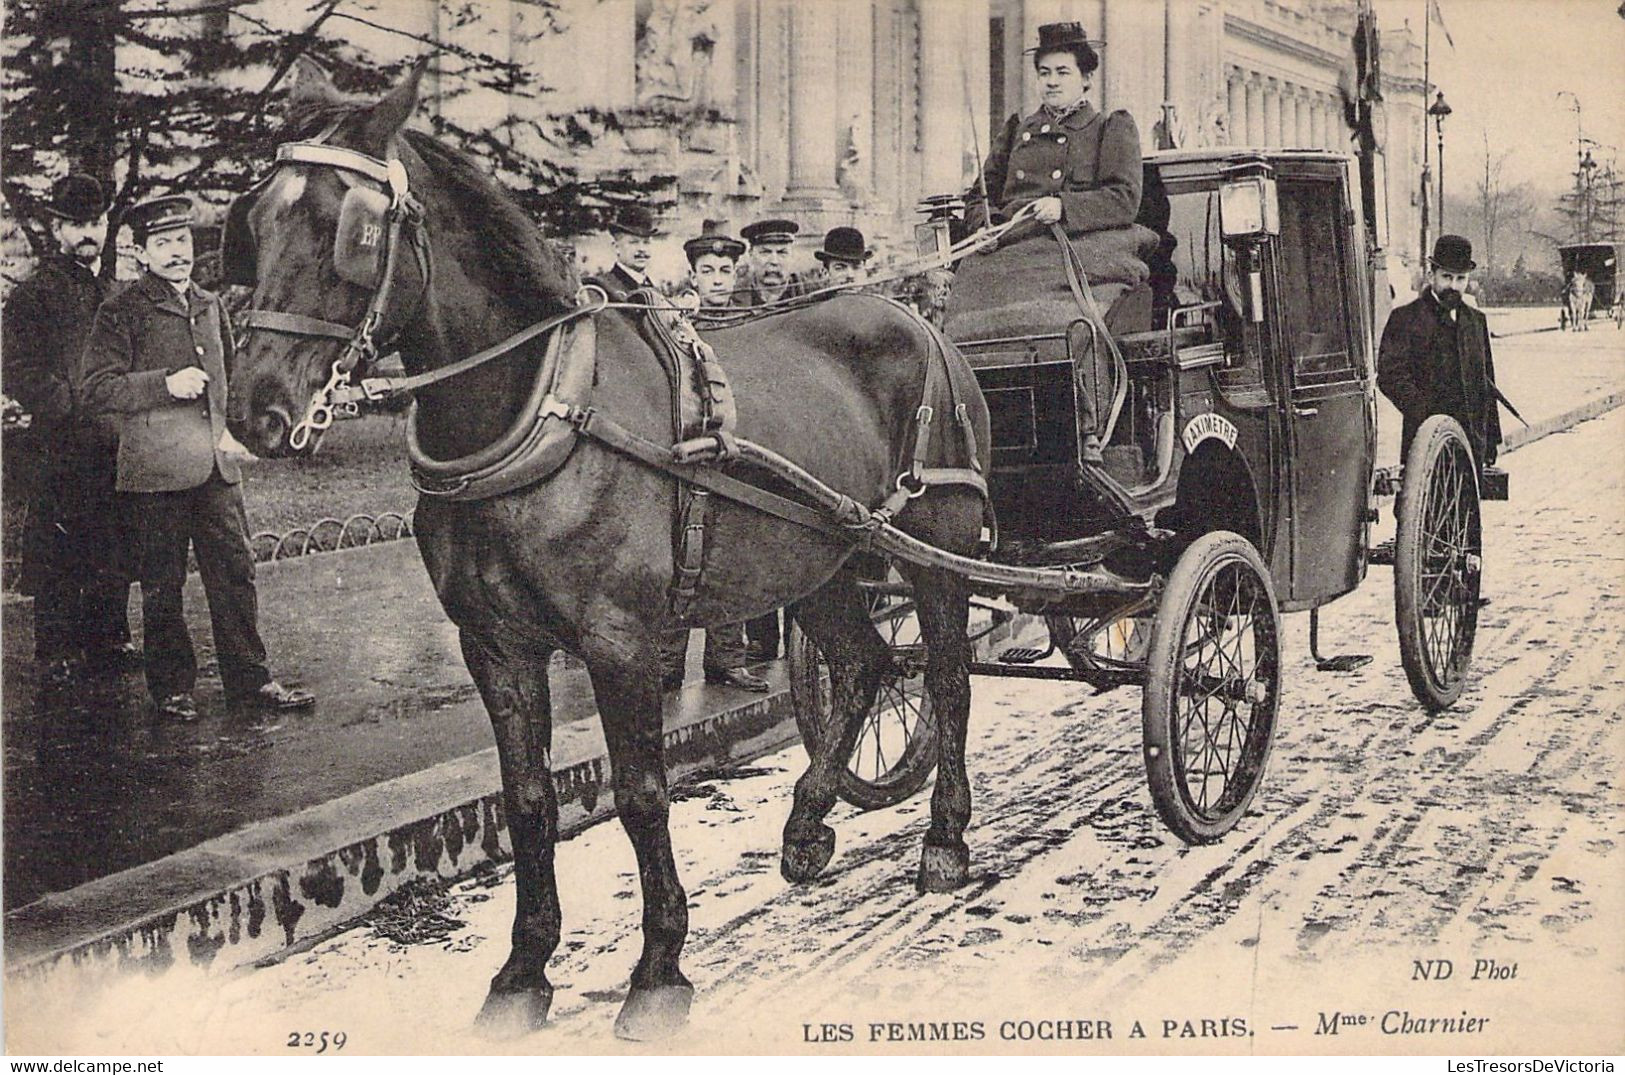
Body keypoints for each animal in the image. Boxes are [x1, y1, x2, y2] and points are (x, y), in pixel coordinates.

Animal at [225, 60, 988, 1045]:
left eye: (352, 229)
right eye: (253, 220)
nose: (254, 410)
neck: (543, 410)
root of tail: (918, 321)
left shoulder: (619, 640)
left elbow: (640, 793)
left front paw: (659, 966)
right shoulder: (495, 645)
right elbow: (527, 801)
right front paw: (522, 969)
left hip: (936, 550)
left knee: (946, 677)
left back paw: (944, 839)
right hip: (817, 557)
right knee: (863, 665)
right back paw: (807, 824)